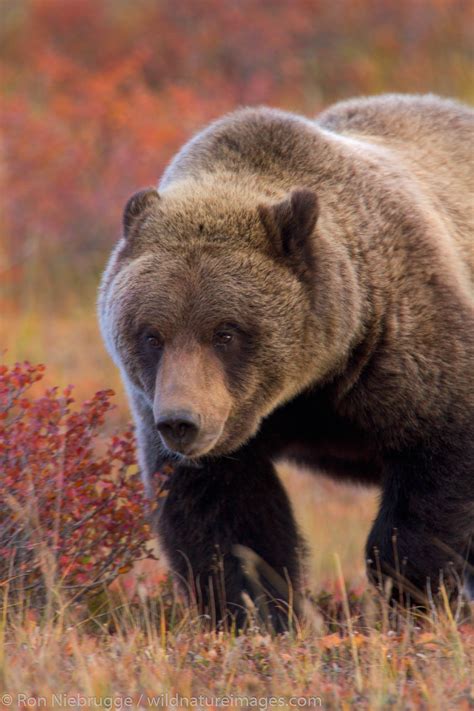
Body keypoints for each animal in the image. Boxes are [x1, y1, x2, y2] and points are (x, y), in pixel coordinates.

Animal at [99, 93, 474, 628]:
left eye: (226, 332)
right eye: (151, 335)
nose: (181, 422)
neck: (310, 385)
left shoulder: (404, 340)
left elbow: (436, 461)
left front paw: (412, 595)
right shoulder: (211, 425)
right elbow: (227, 518)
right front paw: (259, 612)